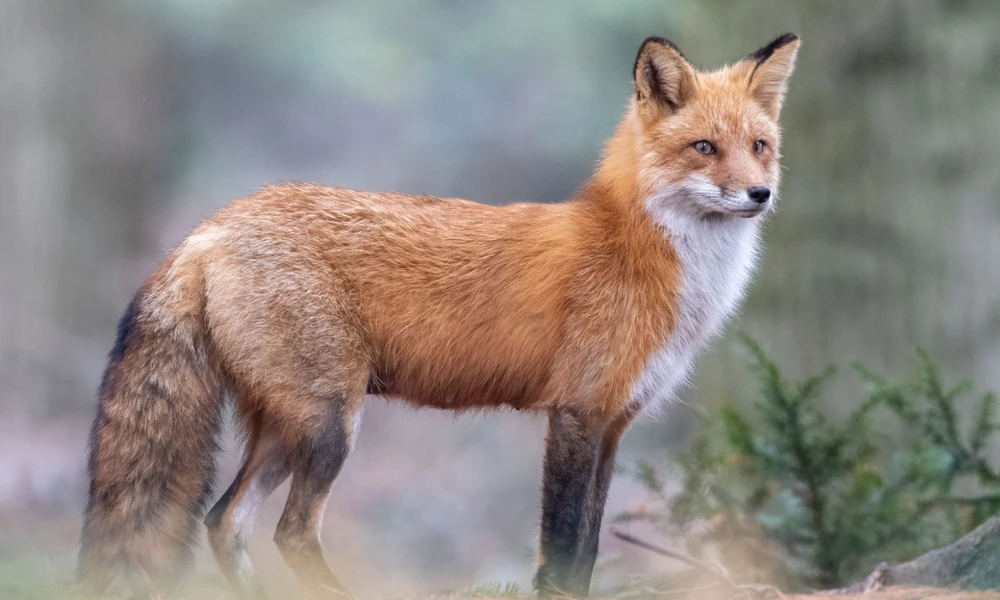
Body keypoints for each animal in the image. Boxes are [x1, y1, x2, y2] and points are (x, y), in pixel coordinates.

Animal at [78, 33, 800, 599]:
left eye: (759, 146)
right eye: (704, 148)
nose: (760, 194)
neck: (648, 255)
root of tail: (211, 226)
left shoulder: (614, 423)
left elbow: (589, 550)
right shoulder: (575, 413)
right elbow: (561, 550)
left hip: (287, 427)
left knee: (225, 522)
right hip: (329, 424)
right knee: (291, 532)